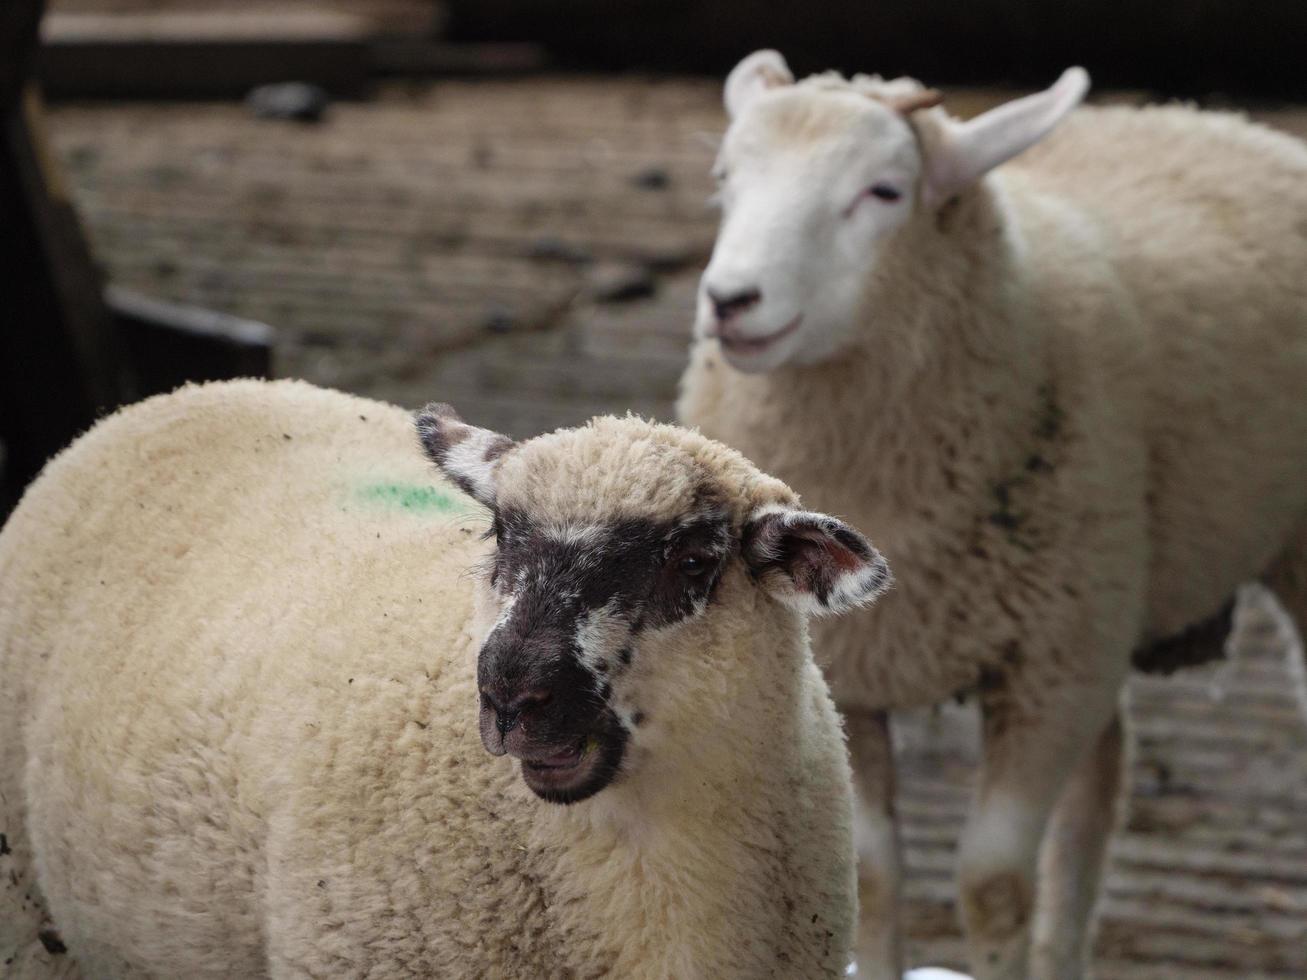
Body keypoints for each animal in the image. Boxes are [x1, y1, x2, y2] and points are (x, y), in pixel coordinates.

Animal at [679, 49, 1307, 980]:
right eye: (726, 178)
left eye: (884, 192)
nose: (730, 300)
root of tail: (1213, 119)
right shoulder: (853, 668)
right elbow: (875, 873)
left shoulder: (1045, 668)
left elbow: (993, 884)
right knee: (1096, 798)